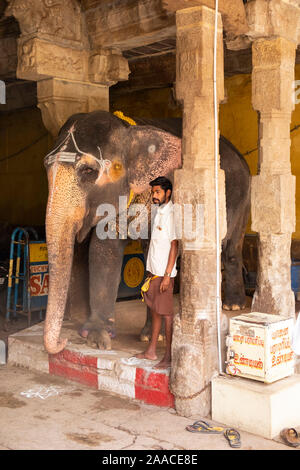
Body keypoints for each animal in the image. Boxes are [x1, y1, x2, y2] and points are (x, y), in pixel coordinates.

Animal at [42, 110, 251, 354]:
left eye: (88, 171)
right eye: (46, 168)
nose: (63, 342)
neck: (130, 131)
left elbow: (161, 250)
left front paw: (155, 335)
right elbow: (105, 250)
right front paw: (98, 338)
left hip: (241, 193)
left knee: (230, 245)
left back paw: (233, 305)